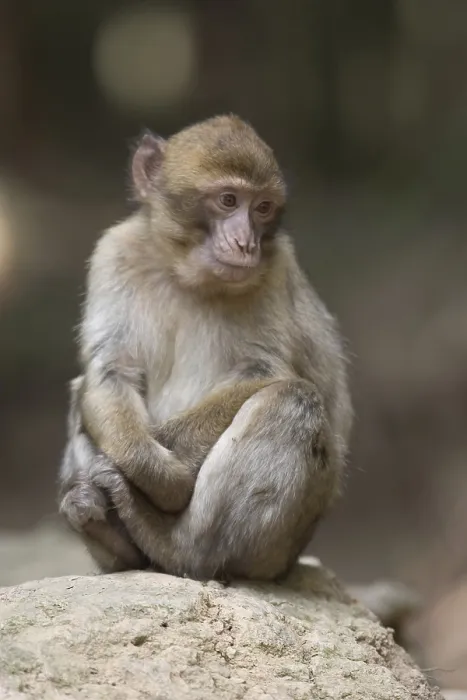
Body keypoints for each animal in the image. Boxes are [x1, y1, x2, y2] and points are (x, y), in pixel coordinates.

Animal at [58, 114, 353, 581]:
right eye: (228, 201)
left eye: (262, 208)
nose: (247, 244)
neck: (184, 274)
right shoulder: (114, 252)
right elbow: (109, 371)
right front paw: (140, 460)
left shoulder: (274, 269)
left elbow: (262, 373)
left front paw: (163, 478)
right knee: (81, 388)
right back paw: (111, 537)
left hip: (277, 550)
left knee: (291, 401)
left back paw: (173, 543)